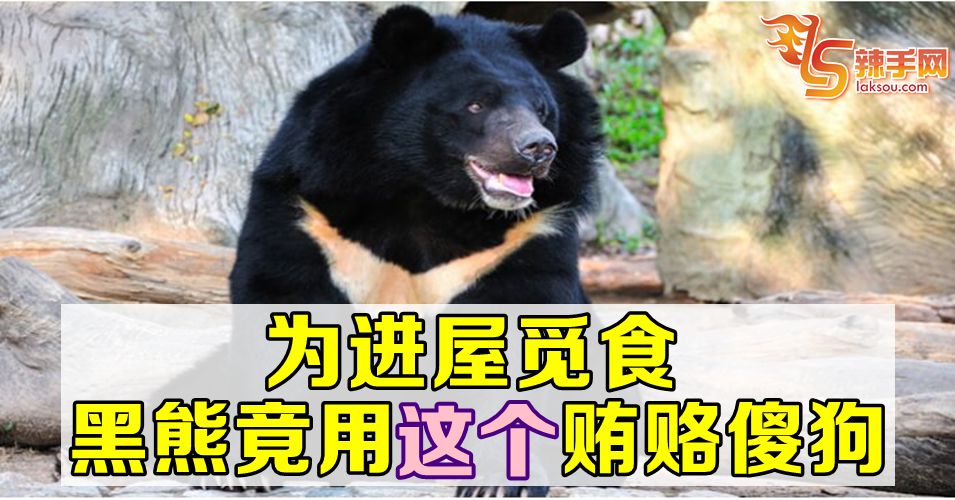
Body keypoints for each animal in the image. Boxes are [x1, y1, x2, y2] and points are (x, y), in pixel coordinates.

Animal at [229, 5, 603, 307]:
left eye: (542, 110)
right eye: (476, 105)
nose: (539, 147)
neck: (422, 192)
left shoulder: (531, 232)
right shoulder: (310, 218)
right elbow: (281, 285)